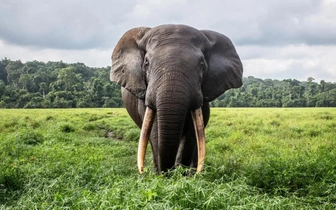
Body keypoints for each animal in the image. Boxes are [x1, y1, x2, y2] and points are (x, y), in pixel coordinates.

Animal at [111, 23, 244, 173]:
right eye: (146, 63)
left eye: (201, 65)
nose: (168, 172)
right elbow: (155, 131)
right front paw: (162, 175)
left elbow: (191, 134)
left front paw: (181, 174)